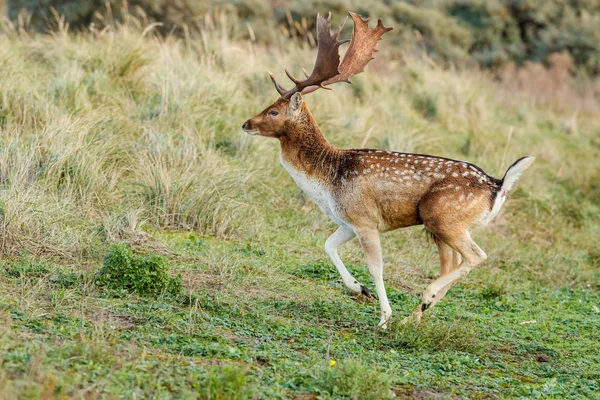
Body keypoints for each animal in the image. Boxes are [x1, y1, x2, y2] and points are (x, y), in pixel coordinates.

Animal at [243, 12, 536, 328]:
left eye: (274, 111)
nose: (246, 123)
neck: (327, 181)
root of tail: (499, 184)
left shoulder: (365, 219)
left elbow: (376, 267)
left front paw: (383, 317)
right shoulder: (347, 221)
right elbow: (327, 246)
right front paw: (361, 290)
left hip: (442, 217)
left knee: (476, 256)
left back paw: (424, 299)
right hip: (443, 226)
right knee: (454, 262)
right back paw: (416, 315)